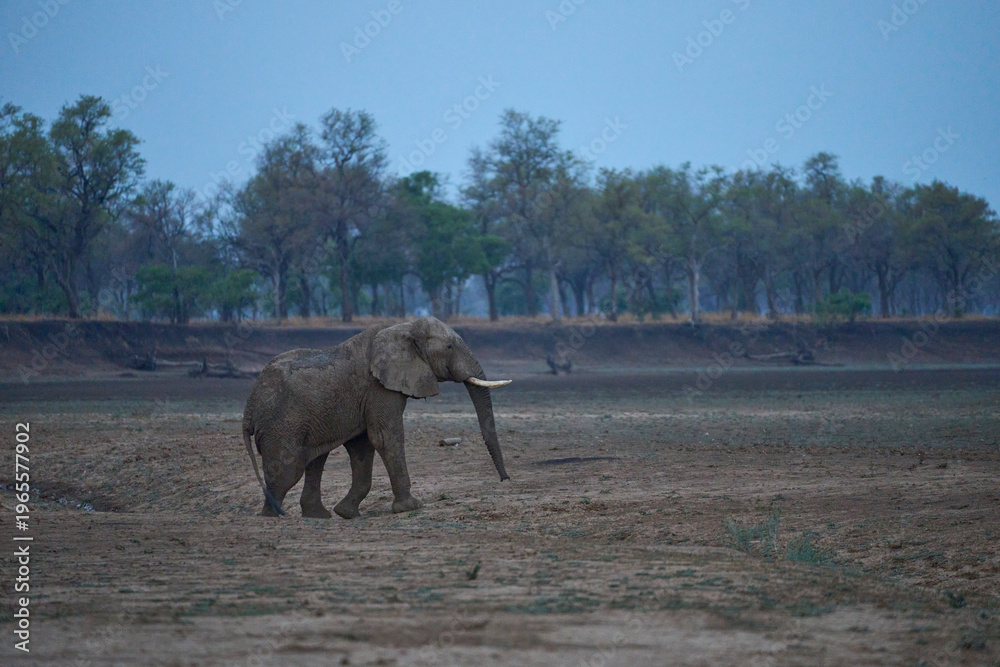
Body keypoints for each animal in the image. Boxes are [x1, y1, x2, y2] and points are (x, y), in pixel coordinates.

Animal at [241, 317, 511, 519]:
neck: (403, 327)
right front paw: (411, 507)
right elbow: (385, 437)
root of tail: (249, 405)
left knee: (315, 459)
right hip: (282, 423)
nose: (505, 479)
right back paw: (274, 515)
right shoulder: (379, 388)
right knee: (289, 468)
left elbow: (362, 445)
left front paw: (346, 513)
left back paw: (319, 515)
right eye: (450, 348)